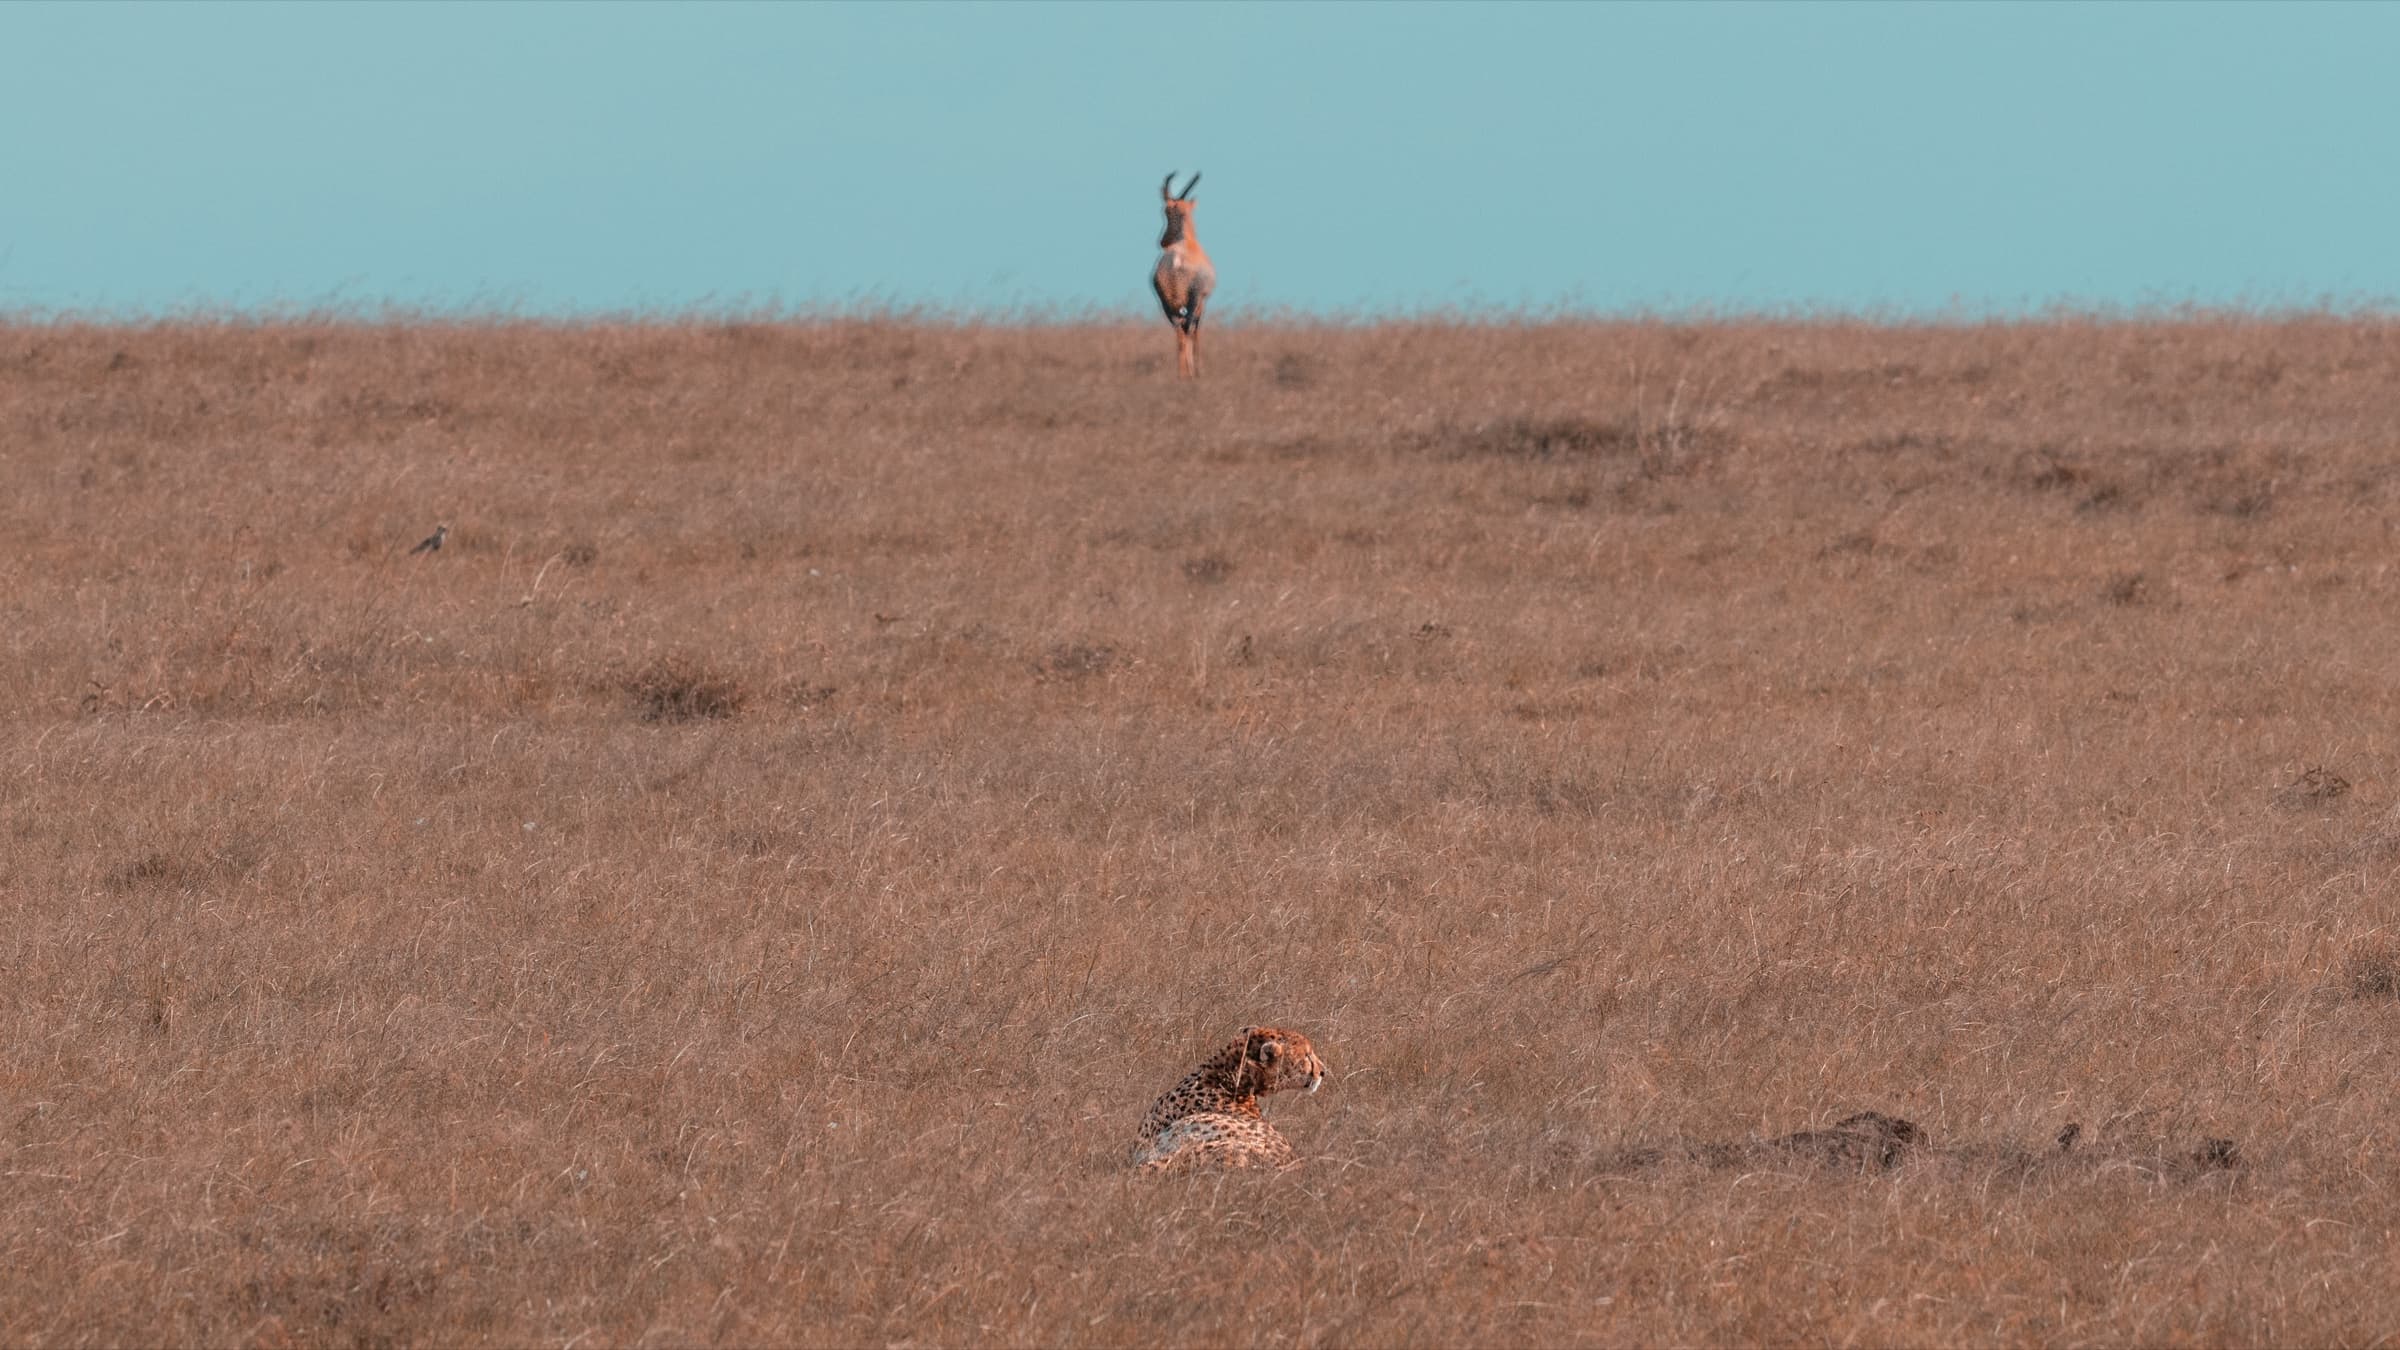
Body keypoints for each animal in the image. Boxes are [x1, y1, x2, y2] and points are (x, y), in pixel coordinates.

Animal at [1152, 171, 1214, 379]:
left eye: (1167, 211)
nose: (1163, 242)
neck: (1185, 241)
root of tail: (1175, 259)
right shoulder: (1202, 301)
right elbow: (1196, 330)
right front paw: (1199, 369)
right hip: (1192, 300)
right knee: (1187, 327)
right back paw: (1189, 373)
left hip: (1166, 303)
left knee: (1178, 329)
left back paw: (1181, 373)